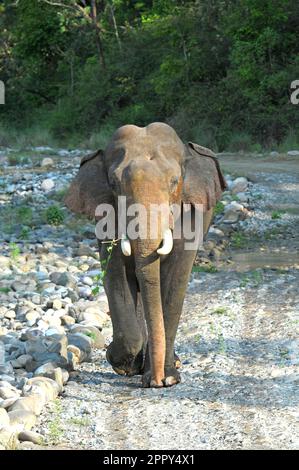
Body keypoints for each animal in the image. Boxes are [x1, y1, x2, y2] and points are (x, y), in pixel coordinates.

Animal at [64, 123, 226, 388]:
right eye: (113, 183)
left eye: (174, 182)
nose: (157, 380)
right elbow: (115, 273)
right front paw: (122, 364)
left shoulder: (191, 215)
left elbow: (174, 280)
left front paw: (168, 379)